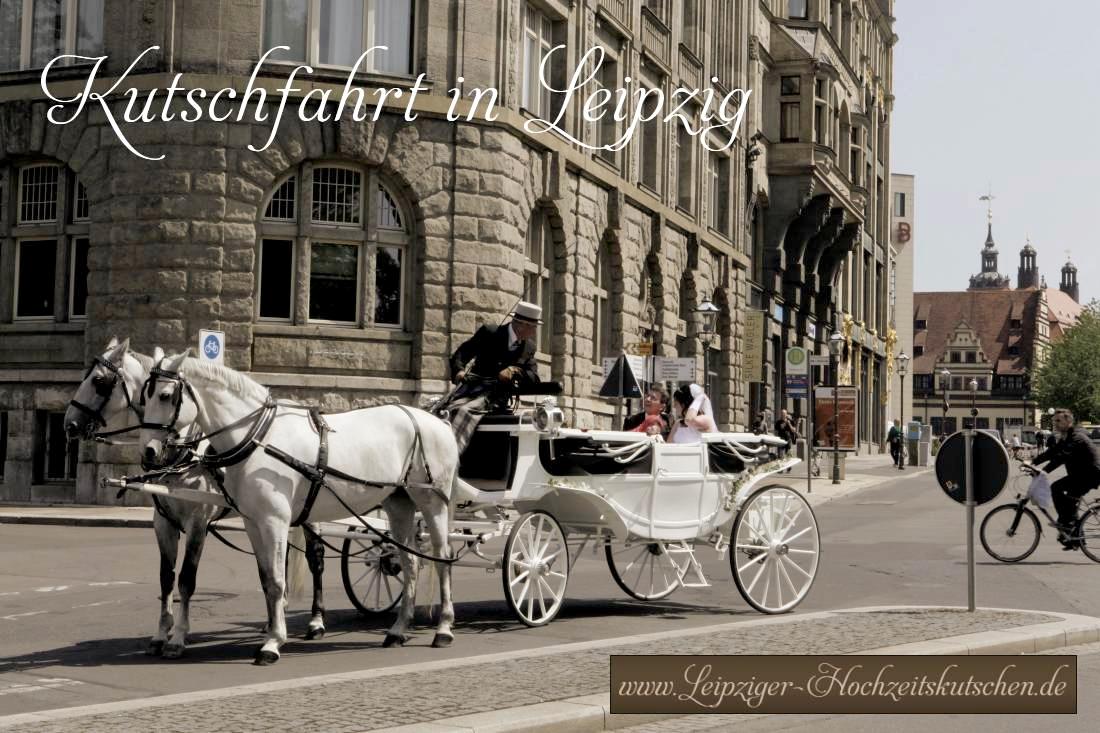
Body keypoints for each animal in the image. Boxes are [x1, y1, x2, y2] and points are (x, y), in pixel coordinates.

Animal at [62, 336, 327, 655]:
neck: (180, 449)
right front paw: (161, 633)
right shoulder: (163, 522)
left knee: (316, 558)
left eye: (99, 381)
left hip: (311, 512)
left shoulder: (197, 522)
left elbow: (187, 579)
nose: (69, 424)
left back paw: (316, 620)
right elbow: (166, 579)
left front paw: (178, 636)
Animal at [139, 347, 457, 660]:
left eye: (165, 396)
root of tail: (438, 421)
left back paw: (443, 628)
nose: (149, 452)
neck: (259, 438)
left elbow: (275, 581)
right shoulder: (252, 522)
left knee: (442, 558)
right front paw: (271, 632)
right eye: (144, 397)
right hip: (398, 502)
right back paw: (398, 630)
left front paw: (273, 642)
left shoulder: (267, 521)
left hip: (432, 501)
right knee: (410, 561)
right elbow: (266, 579)